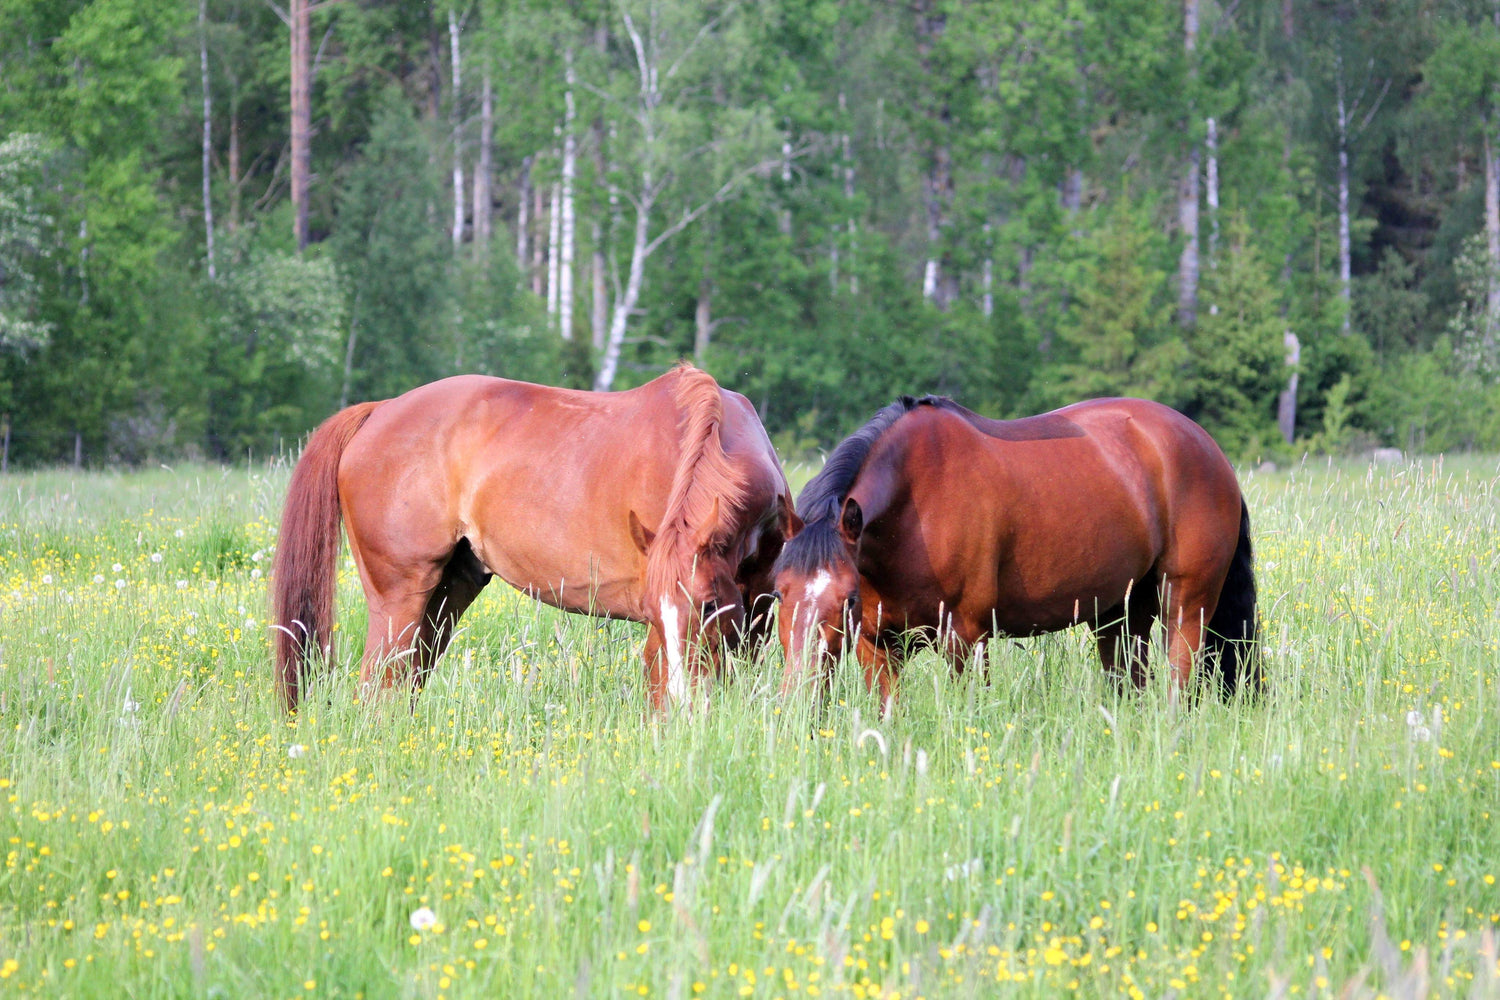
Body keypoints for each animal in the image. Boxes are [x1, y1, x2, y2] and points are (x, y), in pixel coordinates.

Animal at [271, 365, 798, 710]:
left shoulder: (754, 604)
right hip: (398, 599)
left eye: (708, 605)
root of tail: (379, 410)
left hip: (447, 594)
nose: (685, 705)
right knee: (377, 687)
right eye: (651, 610)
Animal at [774, 392, 1254, 710]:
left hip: (1185, 604)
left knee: (1179, 683)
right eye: (778, 593)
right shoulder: (877, 645)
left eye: (848, 598)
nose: (796, 697)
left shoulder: (966, 638)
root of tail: (1208, 448)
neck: (914, 503)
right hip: (1121, 613)